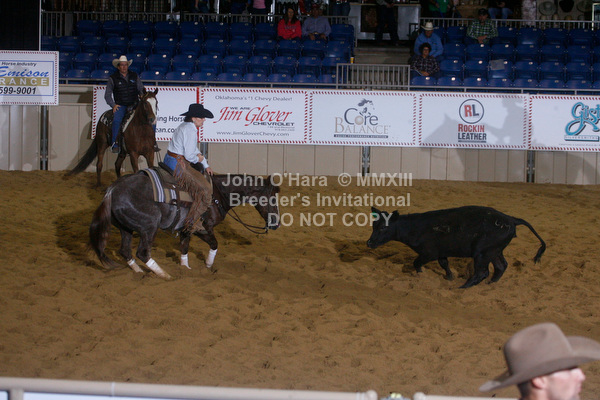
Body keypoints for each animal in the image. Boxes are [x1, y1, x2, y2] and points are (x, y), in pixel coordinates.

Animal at [89, 171, 280, 279]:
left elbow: (184, 247)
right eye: (272, 199)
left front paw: (186, 268)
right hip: (149, 226)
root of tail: (112, 190)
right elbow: (214, 244)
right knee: (142, 252)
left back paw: (139, 272)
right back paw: (165, 275)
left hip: (125, 228)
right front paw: (208, 267)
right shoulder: (203, 228)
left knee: (125, 251)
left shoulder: (185, 229)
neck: (218, 194)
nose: (276, 223)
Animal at [366, 206, 546, 288]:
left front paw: (421, 275)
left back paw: (464, 286)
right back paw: (490, 284)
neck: (414, 227)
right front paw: (450, 276)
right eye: (374, 226)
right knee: (501, 266)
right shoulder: (441, 252)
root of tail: (511, 219)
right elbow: (444, 264)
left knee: (482, 272)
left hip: (482, 253)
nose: (369, 243)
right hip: (495, 251)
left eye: (383, 228)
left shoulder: (429, 252)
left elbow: (416, 263)